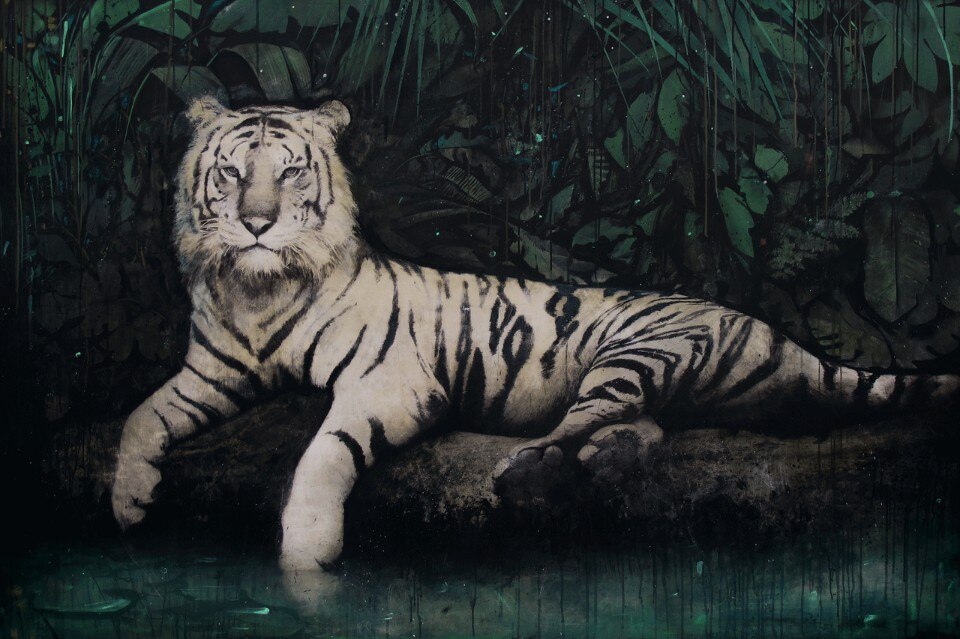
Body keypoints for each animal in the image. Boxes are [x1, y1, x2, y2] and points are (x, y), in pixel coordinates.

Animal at [111, 96, 959, 577]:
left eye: (289, 173)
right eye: (230, 174)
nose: (257, 223)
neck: (258, 290)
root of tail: (777, 333)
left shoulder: (389, 381)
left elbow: (324, 451)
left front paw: (305, 555)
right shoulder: (214, 369)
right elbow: (141, 415)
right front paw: (128, 500)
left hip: (639, 348)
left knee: (584, 420)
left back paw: (527, 470)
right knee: (642, 427)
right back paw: (602, 461)